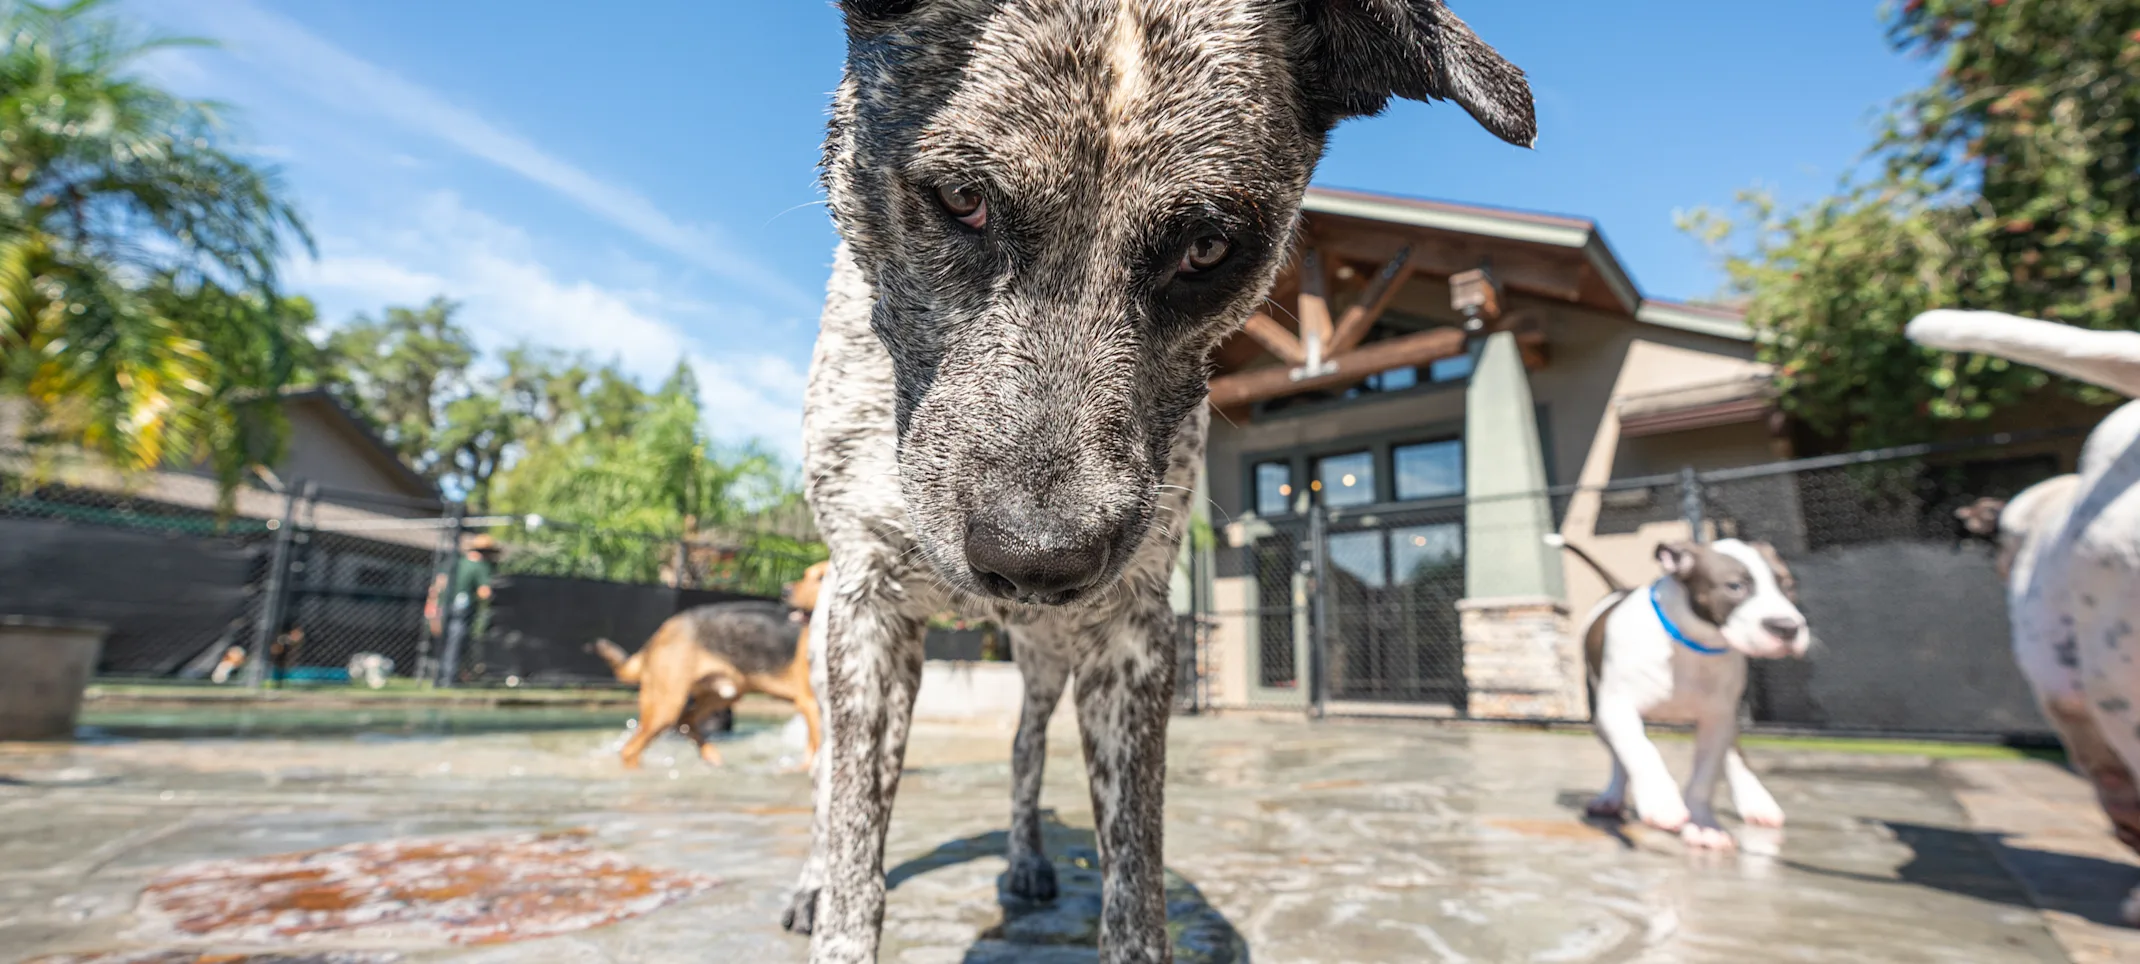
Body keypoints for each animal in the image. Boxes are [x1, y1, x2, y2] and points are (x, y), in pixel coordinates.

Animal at [594, 556, 826, 766]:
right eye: (806, 575)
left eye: (822, 577)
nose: (785, 591)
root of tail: (665, 627)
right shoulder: (809, 703)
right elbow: (815, 752)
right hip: (666, 706)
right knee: (631, 749)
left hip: (723, 695)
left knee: (686, 720)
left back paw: (712, 757)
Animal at [787, 3, 1540, 959]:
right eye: (962, 199)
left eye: (1206, 249)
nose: (1037, 560)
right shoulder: (869, 610)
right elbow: (855, 832)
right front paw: (835, 896)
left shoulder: (1133, 629)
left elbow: (1135, 871)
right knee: (827, 775)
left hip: (1044, 655)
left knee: (1024, 747)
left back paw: (1028, 858)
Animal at [1557, 535, 1806, 852]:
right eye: (1734, 586)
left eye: (1788, 585)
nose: (1787, 628)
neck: (1692, 646)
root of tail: (1619, 589)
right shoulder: (1618, 708)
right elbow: (1641, 750)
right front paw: (1661, 801)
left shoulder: (1717, 719)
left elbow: (1705, 777)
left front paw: (1704, 825)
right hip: (1599, 714)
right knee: (1619, 757)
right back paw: (1611, 797)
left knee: (1733, 754)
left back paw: (1755, 802)